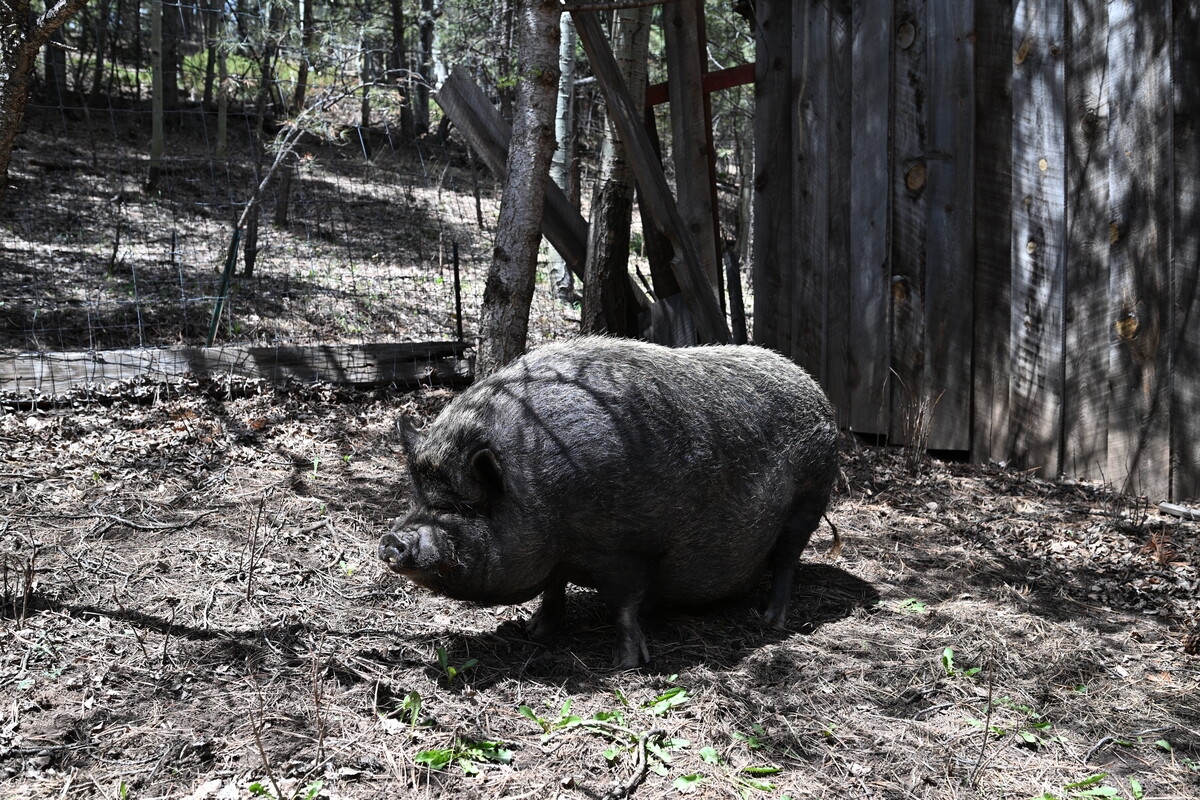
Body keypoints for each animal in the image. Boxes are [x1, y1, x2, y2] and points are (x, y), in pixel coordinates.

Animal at [379, 336, 838, 668]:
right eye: (418, 497)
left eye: (461, 507)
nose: (392, 540)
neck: (539, 489)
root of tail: (818, 391)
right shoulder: (558, 555)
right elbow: (553, 588)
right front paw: (534, 632)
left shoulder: (625, 547)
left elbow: (623, 604)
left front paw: (625, 665)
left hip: (809, 501)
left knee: (787, 561)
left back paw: (771, 622)